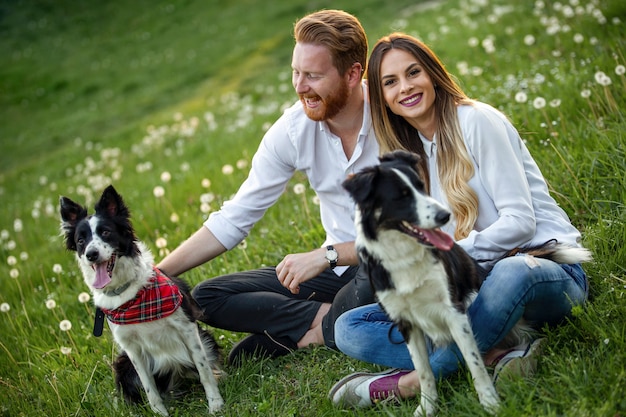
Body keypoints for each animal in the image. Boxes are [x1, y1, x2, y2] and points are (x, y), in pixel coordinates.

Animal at [59, 186, 224, 416]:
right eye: (81, 241)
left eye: (106, 232)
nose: (91, 254)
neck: (130, 295)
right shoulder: (131, 349)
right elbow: (149, 388)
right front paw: (160, 412)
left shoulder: (187, 328)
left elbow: (204, 371)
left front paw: (215, 403)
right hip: (123, 365)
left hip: (205, 339)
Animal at [342, 150, 588, 416]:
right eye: (401, 196)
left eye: (421, 187)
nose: (444, 215)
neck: (405, 255)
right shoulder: (404, 322)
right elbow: (424, 371)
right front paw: (427, 407)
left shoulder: (454, 311)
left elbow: (474, 361)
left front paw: (490, 403)